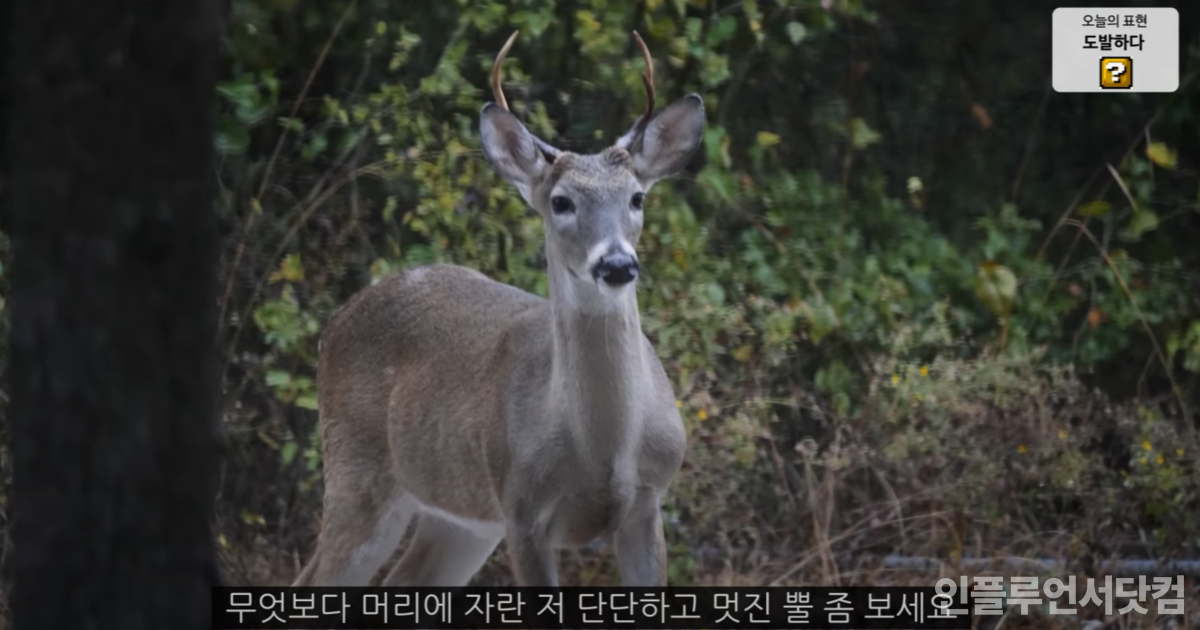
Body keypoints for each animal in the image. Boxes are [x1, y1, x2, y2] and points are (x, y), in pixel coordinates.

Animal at [291, 28, 700, 590]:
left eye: (637, 197)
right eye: (561, 202)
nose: (617, 263)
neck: (604, 455)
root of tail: (332, 324)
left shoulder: (647, 504)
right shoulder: (521, 508)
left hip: (461, 517)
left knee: (405, 578)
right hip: (358, 469)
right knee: (316, 576)